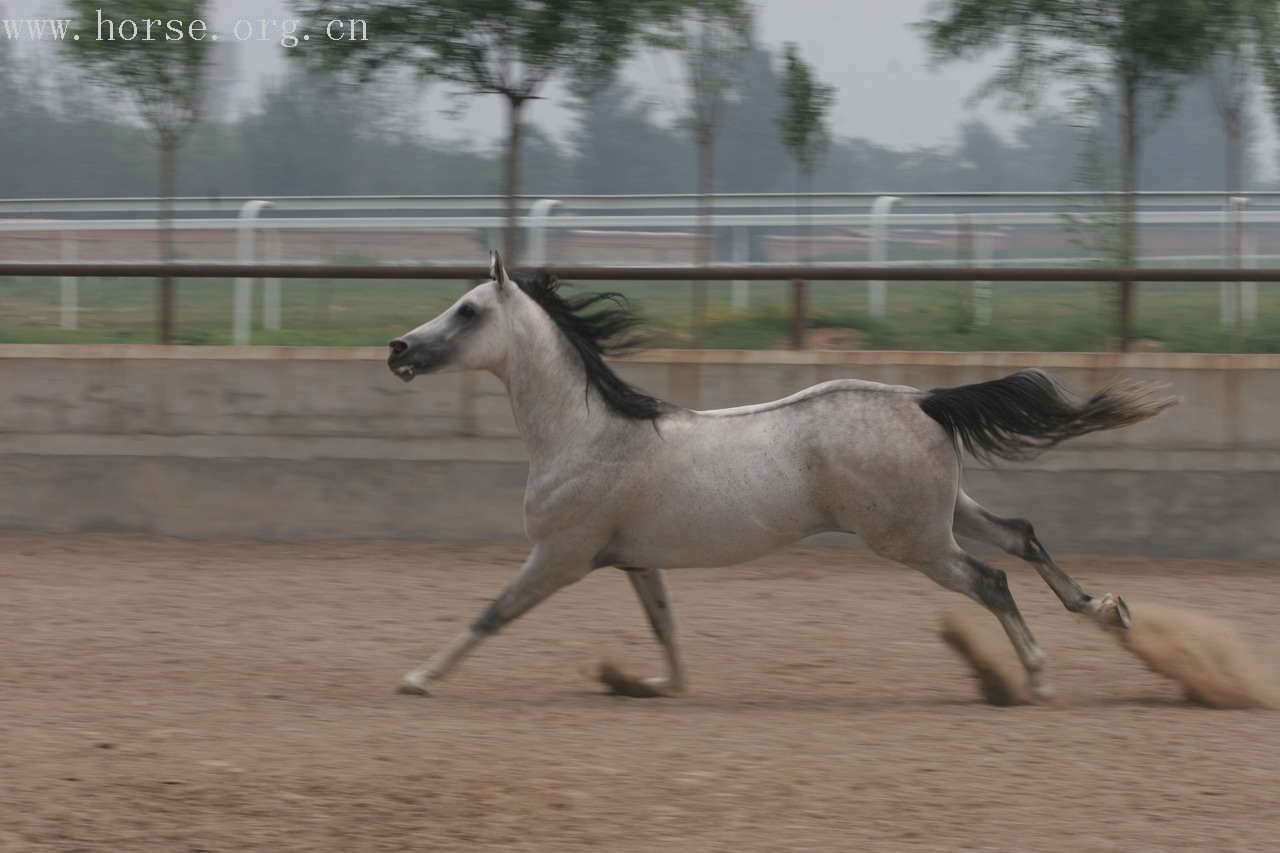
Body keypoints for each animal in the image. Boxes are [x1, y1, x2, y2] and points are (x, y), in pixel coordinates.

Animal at [384, 251, 1172, 696]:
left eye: (468, 309)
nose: (398, 349)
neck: (585, 433)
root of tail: (922, 398)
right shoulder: (634, 560)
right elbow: (665, 626)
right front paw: (653, 683)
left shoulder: (559, 556)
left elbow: (490, 613)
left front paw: (418, 678)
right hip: (945, 513)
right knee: (1021, 533)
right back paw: (1107, 609)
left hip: (914, 540)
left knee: (993, 579)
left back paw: (1036, 675)